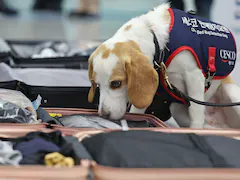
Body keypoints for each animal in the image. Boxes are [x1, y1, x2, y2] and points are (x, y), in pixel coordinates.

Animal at [87, 3, 236, 129]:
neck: (158, 41)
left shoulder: (194, 76)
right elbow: (137, 112)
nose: (104, 115)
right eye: (97, 84)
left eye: (116, 83)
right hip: (177, 109)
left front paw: (196, 130)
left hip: (231, 93)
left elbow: (196, 112)